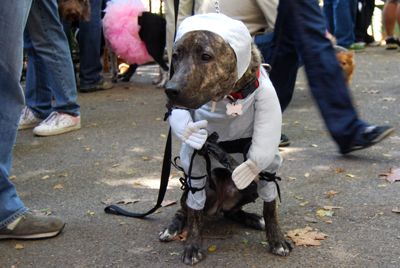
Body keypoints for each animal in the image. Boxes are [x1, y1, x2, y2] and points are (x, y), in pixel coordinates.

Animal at [161, 30, 292, 264]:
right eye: (175, 56)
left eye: (206, 56)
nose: (170, 90)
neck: (229, 97)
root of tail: (219, 206)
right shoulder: (196, 166)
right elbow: (194, 214)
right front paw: (192, 246)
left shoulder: (267, 165)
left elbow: (270, 208)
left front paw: (277, 240)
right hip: (201, 189)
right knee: (185, 209)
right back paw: (172, 228)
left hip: (248, 188)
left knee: (232, 211)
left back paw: (252, 218)